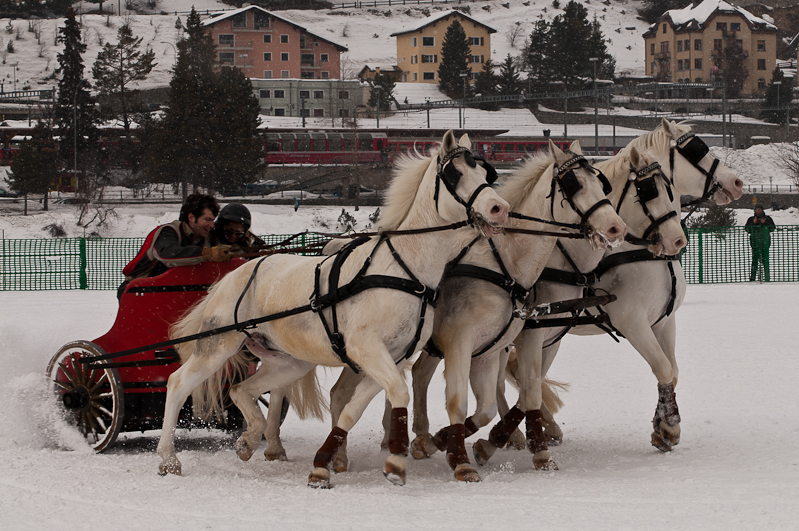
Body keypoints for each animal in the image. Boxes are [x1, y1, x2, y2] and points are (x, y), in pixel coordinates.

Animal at [153, 131, 510, 488]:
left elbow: (355, 408)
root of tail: (232, 275)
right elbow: (398, 393)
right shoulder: (367, 349)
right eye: (456, 174)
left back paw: (251, 438)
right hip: (217, 346)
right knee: (178, 383)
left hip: (288, 362)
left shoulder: (389, 358)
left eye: (485, 173)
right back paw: (169, 458)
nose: (500, 208)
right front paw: (394, 459)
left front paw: (332, 463)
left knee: (242, 389)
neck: (404, 269)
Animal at [328, 138, 628, 482]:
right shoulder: (475, 341)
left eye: (601, 183)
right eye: (574, 184)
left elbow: (519, 395)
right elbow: (476, 399)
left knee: (389, 382)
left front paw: (506, 445)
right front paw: (470, 452)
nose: (617, 228)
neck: (506, 265)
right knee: (352, 391)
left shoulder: (527, 343)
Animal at [472, 119, 748, 470]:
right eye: (696, 149)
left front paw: (660, 427)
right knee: (502, 378)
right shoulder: (631, 322)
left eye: (668, 189)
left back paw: (540, 427)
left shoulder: (663, 321)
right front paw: (669, 428)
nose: (736, 182)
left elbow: (671, 371)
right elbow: (662, 367)